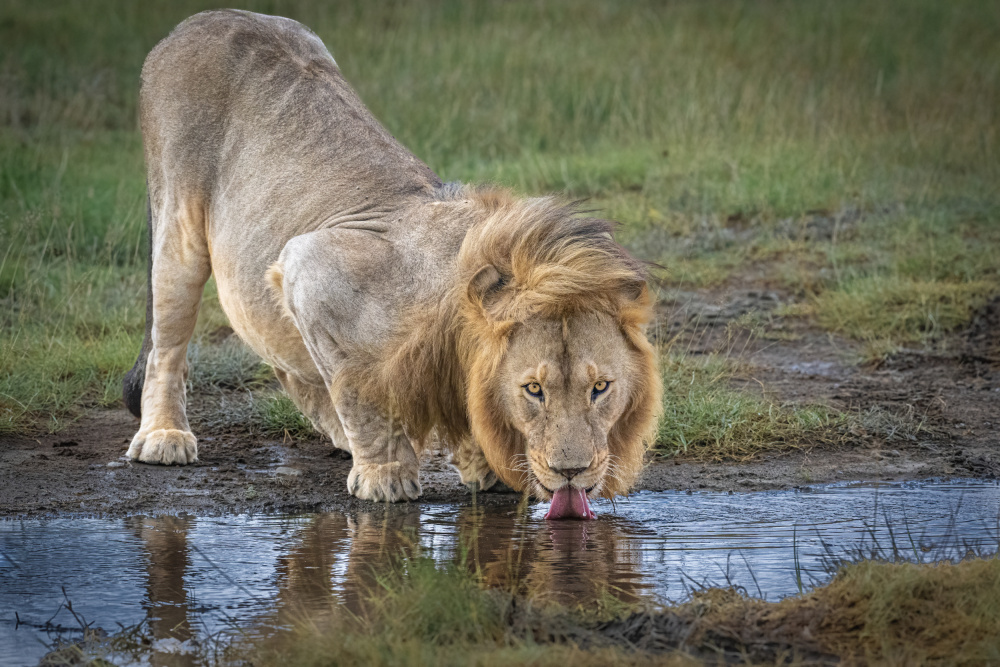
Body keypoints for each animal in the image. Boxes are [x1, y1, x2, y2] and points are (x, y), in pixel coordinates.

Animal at [121, 11, 660, 520]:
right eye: (534, 390)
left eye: (600, 388)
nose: (572, 473)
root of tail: (199, 21)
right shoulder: (308, 269)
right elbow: (358, 394)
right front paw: (386, 475)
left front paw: (484, 467)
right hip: (178, 229)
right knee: (168, 343)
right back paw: (165, 436)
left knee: (281, 353)